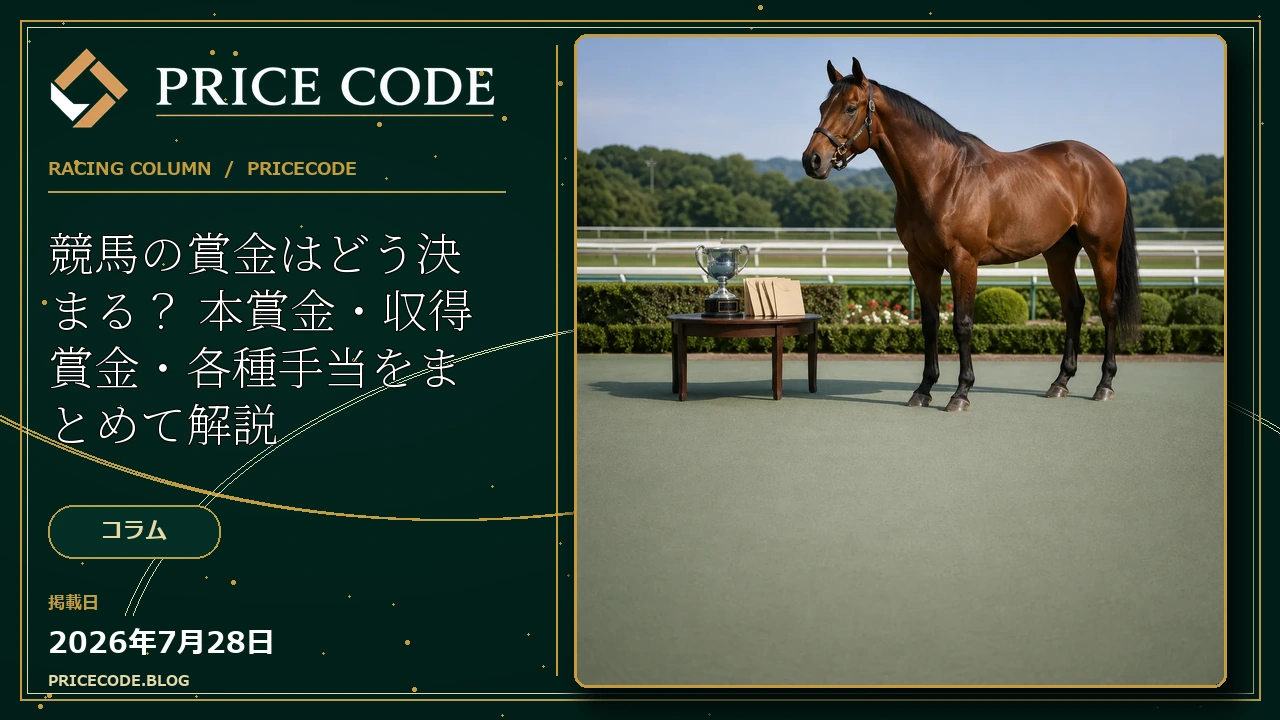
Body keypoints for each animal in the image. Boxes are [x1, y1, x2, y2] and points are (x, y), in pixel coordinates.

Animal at [803, 57, 1141, 411]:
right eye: (823, 107)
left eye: (850, 108)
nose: (812, 160)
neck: (941, 177)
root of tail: (1104, 164)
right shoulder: (921, 264)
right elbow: (930, 324)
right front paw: (923, 389)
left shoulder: (963, 262)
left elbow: (962, 324)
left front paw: (961, 392)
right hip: (1059, 254)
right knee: (1074, 306)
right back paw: (1060, 382)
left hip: (1102, 251)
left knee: (1107, 308)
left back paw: (1104, 384)